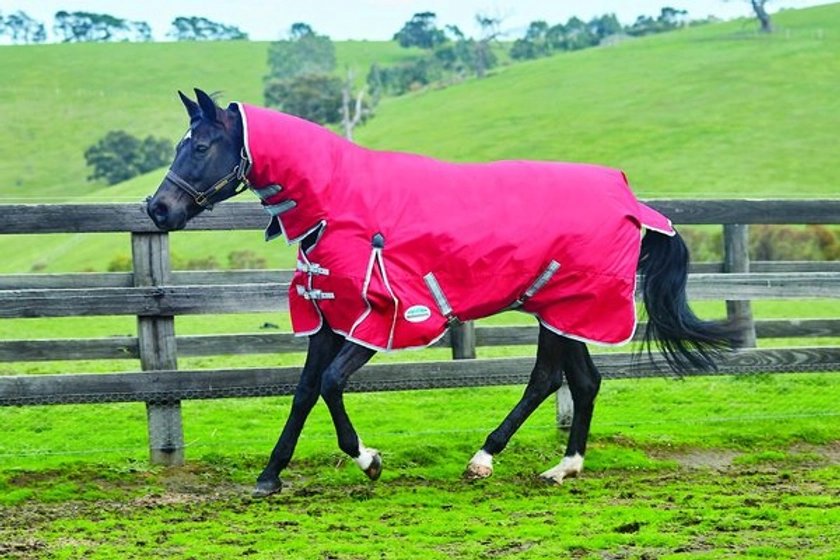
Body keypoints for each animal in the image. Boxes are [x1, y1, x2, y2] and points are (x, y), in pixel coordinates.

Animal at [148, 88, 740, 498]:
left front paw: (369, 460)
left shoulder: (384, 319)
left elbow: (333, 384)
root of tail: (631, 200)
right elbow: (305, 392)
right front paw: (270, 475)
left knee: (558, 381)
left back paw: (496, 460)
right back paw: (552, 466)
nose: (158, 209)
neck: (339, 203)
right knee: (576, 381)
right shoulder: (329, 318)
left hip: (569, 309)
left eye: (200, 145)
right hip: (558, 310)